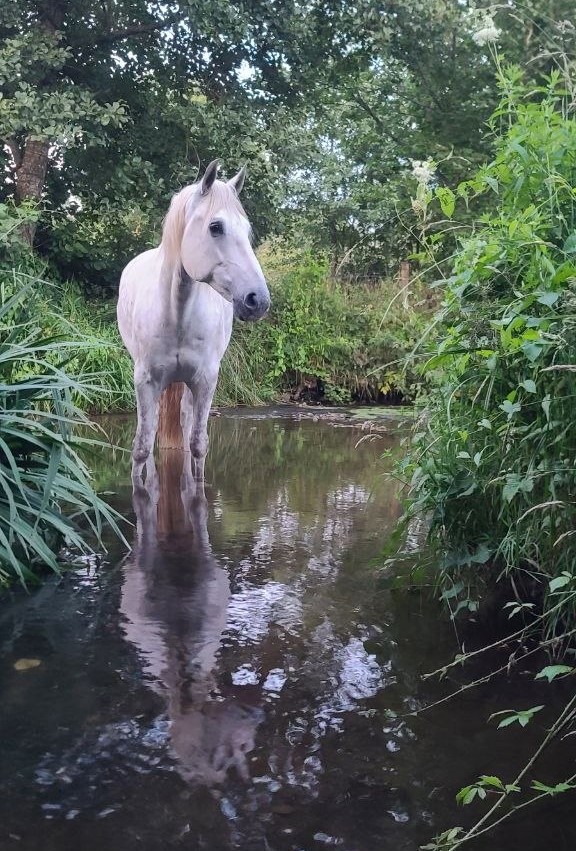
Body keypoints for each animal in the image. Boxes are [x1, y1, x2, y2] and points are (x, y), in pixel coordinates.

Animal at [117, 160, 270, 481]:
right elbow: (141, 448)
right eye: (216, 227)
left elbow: (199, 445)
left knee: (187, 423)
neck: (177, 313)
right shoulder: (145, 381)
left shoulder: (205, 380)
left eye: (247, 229)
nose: (258, 301)